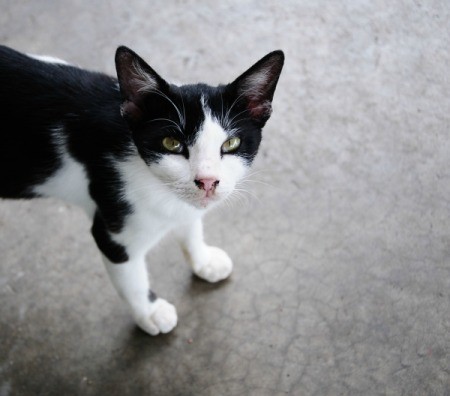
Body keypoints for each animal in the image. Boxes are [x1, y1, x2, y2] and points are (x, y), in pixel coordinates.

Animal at [0, 44, 284, 336]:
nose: (207, 181)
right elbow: (132, 281)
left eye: (231, 143)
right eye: (171, 143)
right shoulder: (112, 228)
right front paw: (151, 313)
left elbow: (190, 226)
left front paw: (203, 260)